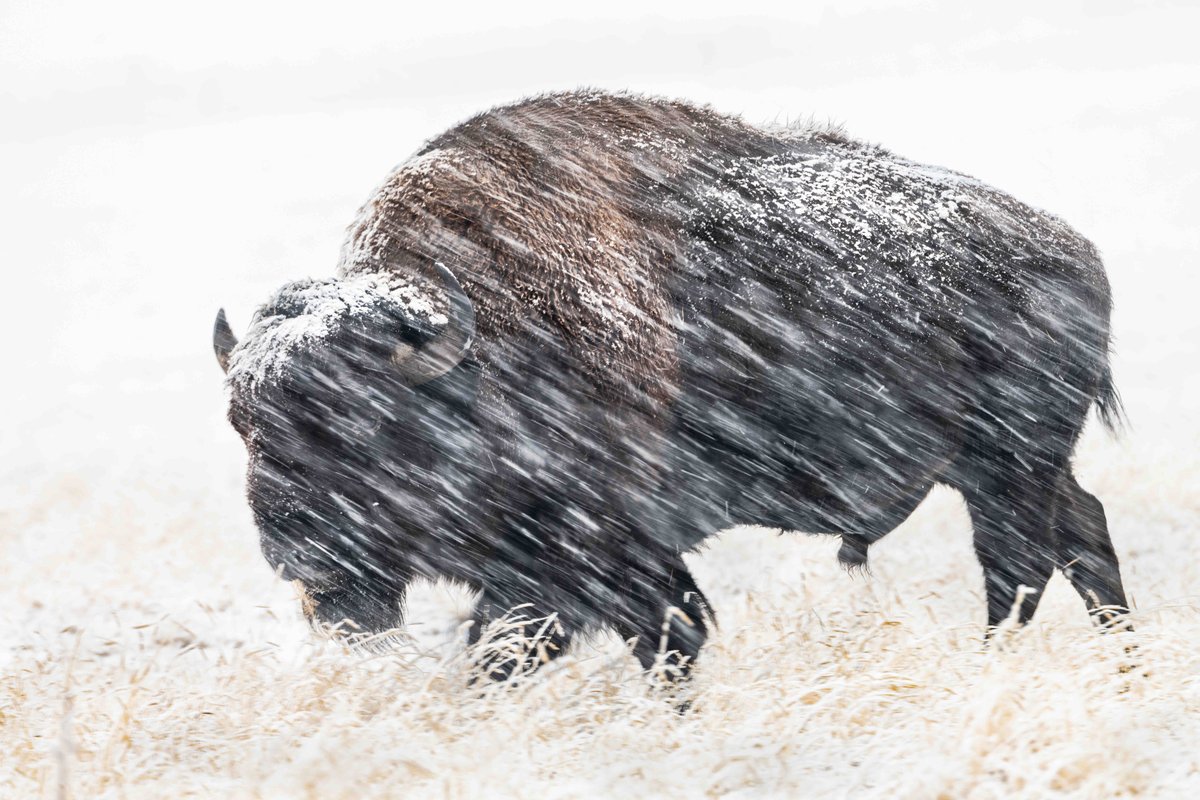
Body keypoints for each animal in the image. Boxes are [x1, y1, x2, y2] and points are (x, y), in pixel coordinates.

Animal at [214, 90, 1130, 678]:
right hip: (1011, 468)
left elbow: (627, 640)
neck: (482, 350)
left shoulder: (600, 559)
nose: (297, 554)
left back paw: (996, 662)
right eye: (242, 423)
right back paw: (1121, 656)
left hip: (1008, 467)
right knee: (1079, 535)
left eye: (366, 421)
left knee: (1019, 565)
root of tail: (1076, 246)